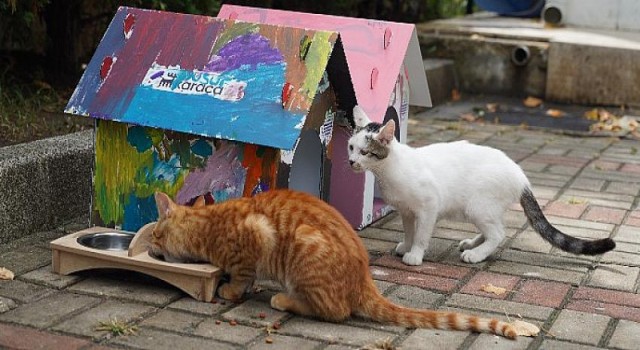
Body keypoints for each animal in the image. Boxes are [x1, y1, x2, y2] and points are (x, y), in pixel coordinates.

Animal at [149, 189, 516, 340]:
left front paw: (230, 290)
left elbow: (241, 278)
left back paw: (284, 299)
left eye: (153, 234)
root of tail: (364, 278)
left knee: (333, 311)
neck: (208, 226)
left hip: (305, 248)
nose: (149, 247)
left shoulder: (257, 236)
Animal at [348, 105, 616, 264]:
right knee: (494, 229)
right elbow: (409, 230)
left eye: (366, 152)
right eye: (351, 147)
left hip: (477, 206)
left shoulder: (428, 206)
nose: (351, 162)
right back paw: (473, 243)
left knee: (498, 233)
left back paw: (476, 254)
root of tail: (521, 176)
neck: (389, 170)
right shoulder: (406, 210)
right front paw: (407, 245)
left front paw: (415, 254)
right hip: (482, 209)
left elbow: (422, 234)